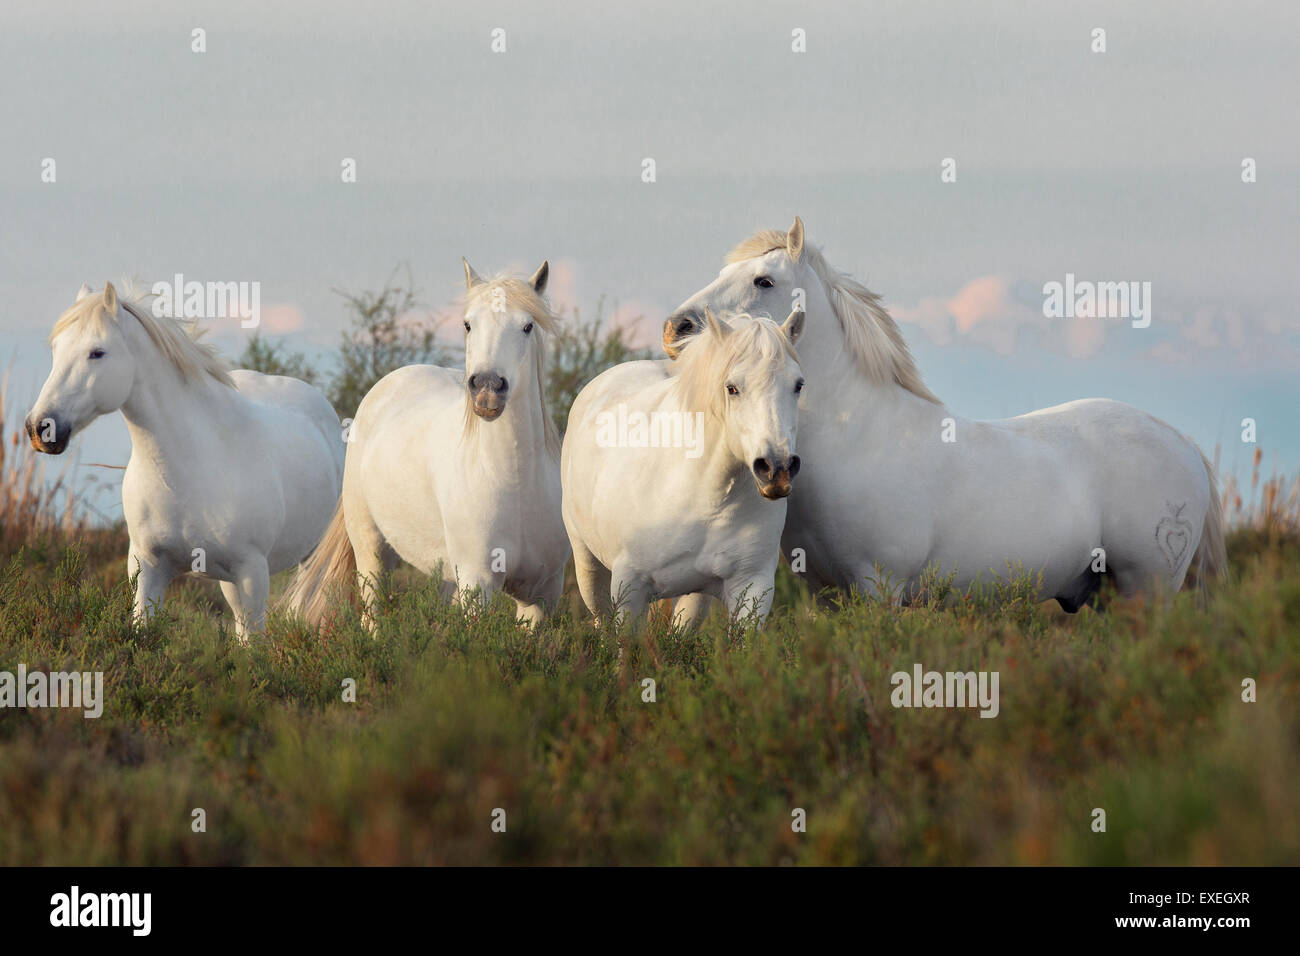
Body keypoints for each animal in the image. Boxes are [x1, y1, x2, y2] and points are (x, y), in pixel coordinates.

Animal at [30, 283, 345, 642]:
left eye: (97, 352)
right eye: (56, 349)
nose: (40, 428)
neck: (187, 466)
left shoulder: (252, 572)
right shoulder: (147, 569)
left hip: (308, 558)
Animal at [282, 264, 566, 629]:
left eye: (527, 326)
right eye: (468, 324)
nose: (487, 389)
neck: (515, 479)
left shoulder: (543, 595)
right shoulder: (478, 583)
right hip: (371, 550)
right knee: (372, 615)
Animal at [564, 306, 806, 629]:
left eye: (798, 385)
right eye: (732, 388)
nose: (776, 469)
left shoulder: (752, 585)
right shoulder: (630, 588)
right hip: (588, 566)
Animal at [665, 219, 1222, 608]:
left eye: (763, 280)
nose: (677, 329)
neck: (859, 437)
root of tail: (1183, 443)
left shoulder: (880, 588)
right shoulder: (827, 596)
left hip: (1145, 589)